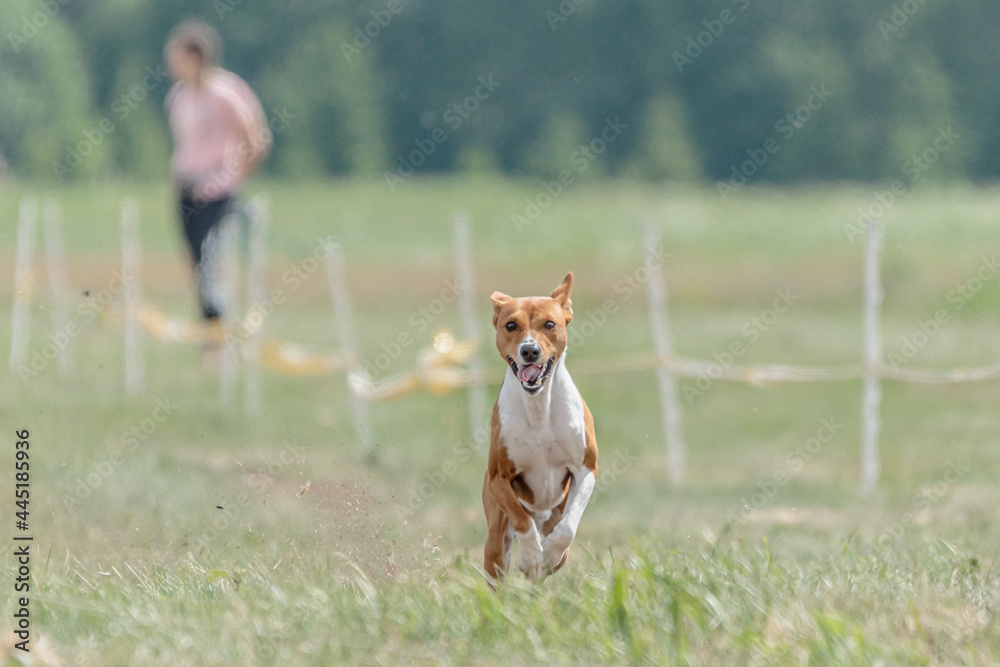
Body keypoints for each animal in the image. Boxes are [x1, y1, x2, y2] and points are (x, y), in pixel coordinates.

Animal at [482, 274, 596, 580]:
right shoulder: (499, 479)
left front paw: (549, 552)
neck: (538, 410)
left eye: (550, 324)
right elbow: (521, 518)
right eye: (511, 325)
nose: (530, 350)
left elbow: (568, 528)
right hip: (495, 539)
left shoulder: (586, 468)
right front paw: (532, 556)